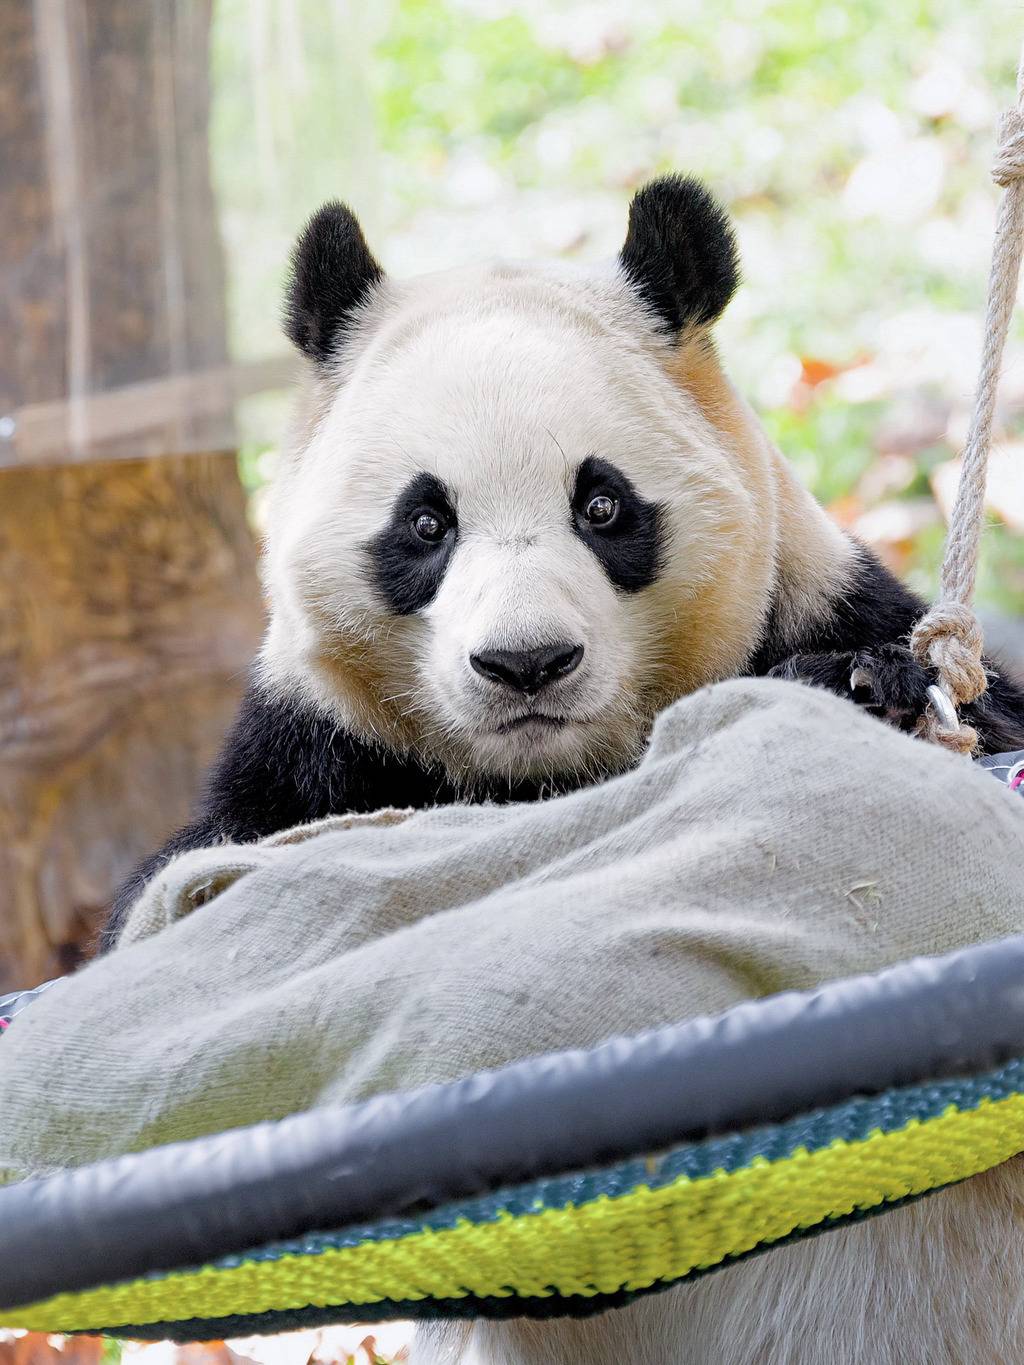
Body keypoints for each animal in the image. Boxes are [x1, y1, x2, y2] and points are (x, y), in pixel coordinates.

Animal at [100, 176, 1024, 950]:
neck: (542, 778)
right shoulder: (306, 749)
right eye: (426, 523)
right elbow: (172, 895)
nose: (526, 662)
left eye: (602, 506)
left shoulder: (816, 592)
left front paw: (865, 682)